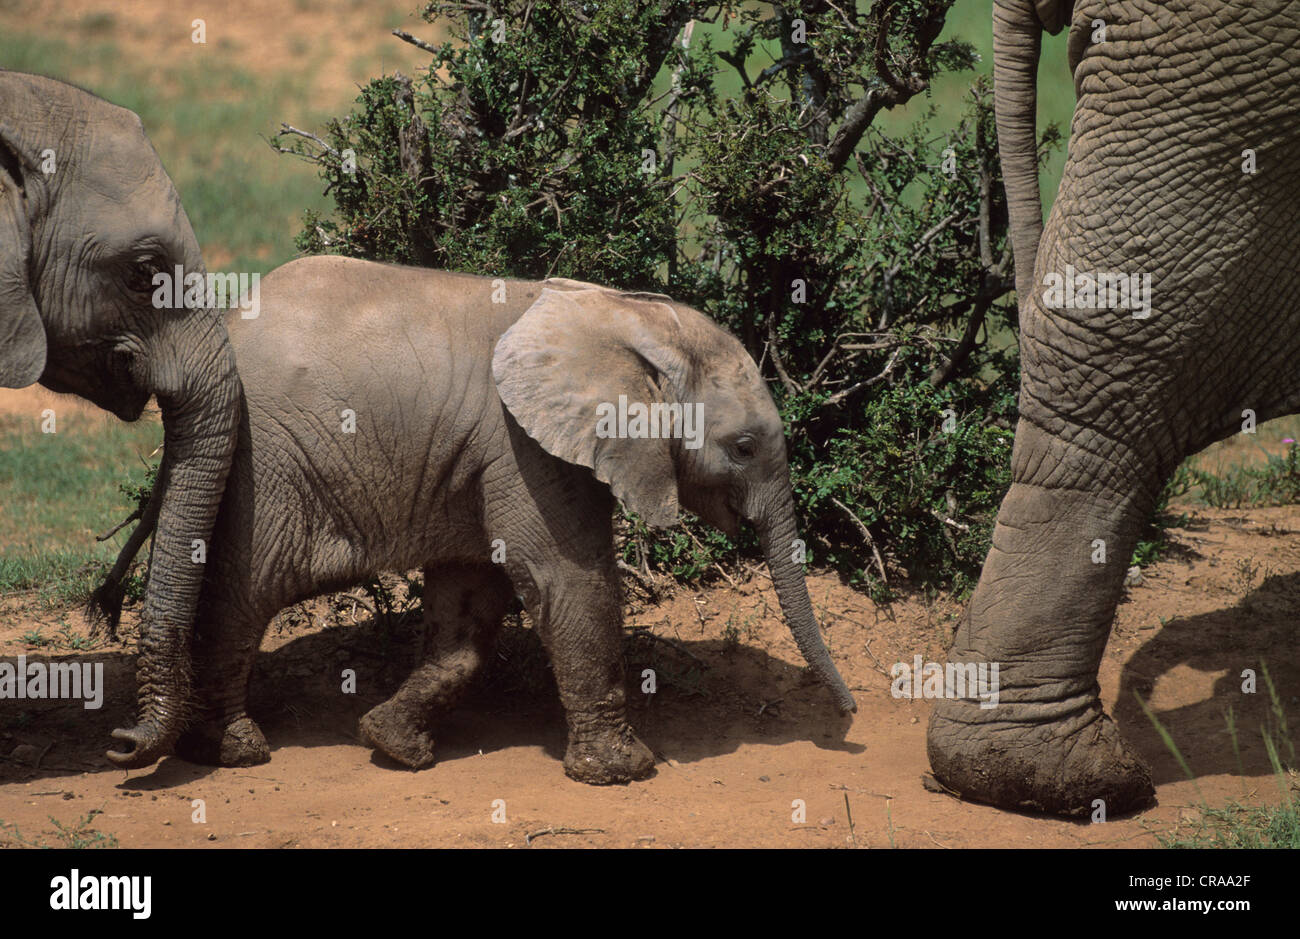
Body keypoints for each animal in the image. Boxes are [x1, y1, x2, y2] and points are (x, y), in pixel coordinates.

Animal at [100, 257, 857, 781]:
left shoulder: (485, 457)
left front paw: (393, 745)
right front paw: (624, 771)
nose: (850, 717)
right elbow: (566, 581)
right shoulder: (524, 447)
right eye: (744, 447)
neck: (626, 317)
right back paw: (232, 751)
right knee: (246, 588)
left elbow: (470, 602)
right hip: (272, 460)